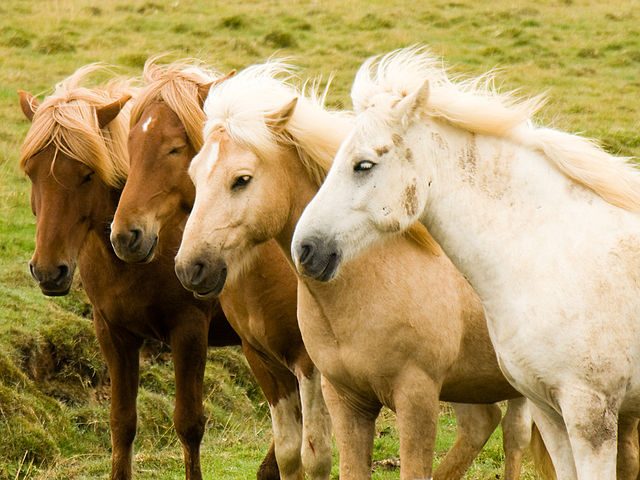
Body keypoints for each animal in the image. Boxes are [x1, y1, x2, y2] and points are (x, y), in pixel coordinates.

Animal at [17, 65, 280, 480]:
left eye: (88, 174)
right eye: (31, 172)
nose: (47, 270)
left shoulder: (189, 331)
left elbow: (189, 424)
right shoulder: (113, 333)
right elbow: (122, 422)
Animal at [108, 58, 332, 480]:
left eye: (174, 148)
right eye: (129, 144)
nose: (125, 235)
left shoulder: (309, 364)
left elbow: (316, 454)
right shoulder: (262, 359)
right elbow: (289, 453)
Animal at [172, 59, 537, 480]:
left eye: (241, 180)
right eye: (194, 175)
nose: (190, 267)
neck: (369, 280)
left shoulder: (416, 399)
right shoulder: (347, 400)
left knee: (514, 437)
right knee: (481, 424)